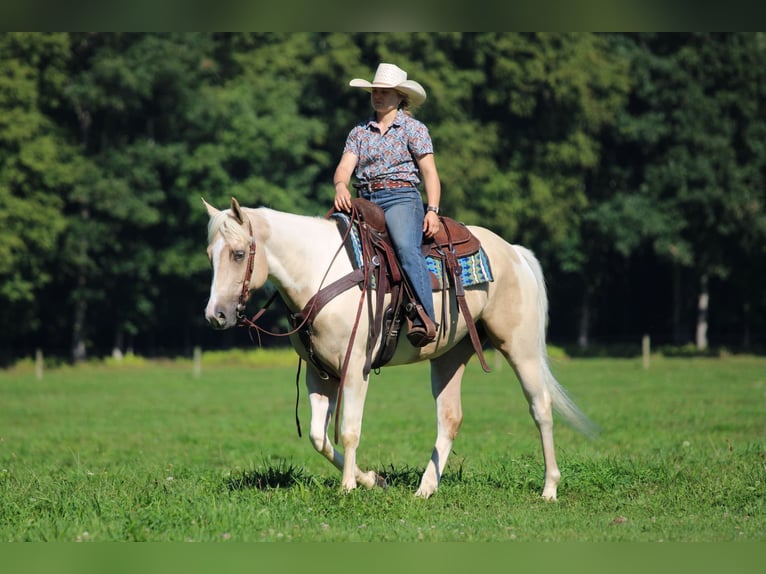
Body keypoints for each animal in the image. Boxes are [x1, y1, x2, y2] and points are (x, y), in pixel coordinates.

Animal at [203, 197, 594, 500]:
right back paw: (425, 489)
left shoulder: (355, 368)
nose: (215, 316)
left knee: (541, 408)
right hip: (449, 356)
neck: (319, 272)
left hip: (519, 348)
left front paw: (347, 488)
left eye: (238, 254)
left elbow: (349, 429)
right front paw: (372, 480)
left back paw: (549, 488)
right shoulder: (320, 373)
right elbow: (318, 437)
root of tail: (514, 252)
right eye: (210, 256)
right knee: (450, 418)